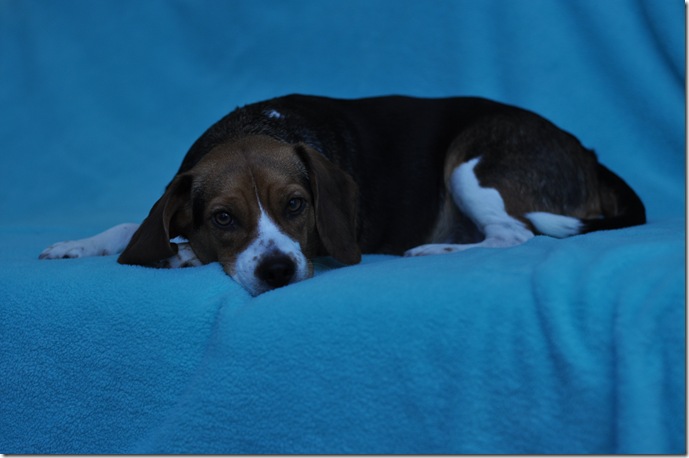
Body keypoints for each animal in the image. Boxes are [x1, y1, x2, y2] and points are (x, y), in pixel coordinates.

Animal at [40, 94, 646, 295]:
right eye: (222, 218)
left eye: (296, 205)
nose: (279, 272)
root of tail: (588, 155)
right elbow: (133, 228)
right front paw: (77, 244)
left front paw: (184, 255)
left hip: (470, 164)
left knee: (513, 234)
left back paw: (435, 251)